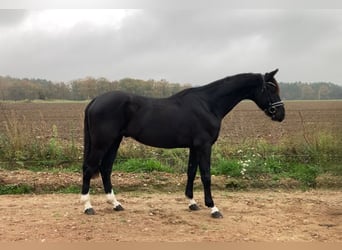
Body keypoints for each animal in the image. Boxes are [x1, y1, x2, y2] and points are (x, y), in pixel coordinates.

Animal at [80, 69, 284, 218]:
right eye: (271, 89)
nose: (281, 115)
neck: (208, 104)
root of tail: (95, 100)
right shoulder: (204, 146)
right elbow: (206, 175)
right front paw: (213, 208)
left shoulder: (194, 147)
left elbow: (191, 172)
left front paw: (192, 203)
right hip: (102, 143)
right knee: (89, 168)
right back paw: (88, 206)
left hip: (114, 142)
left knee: (105, 168)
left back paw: (115, 204)